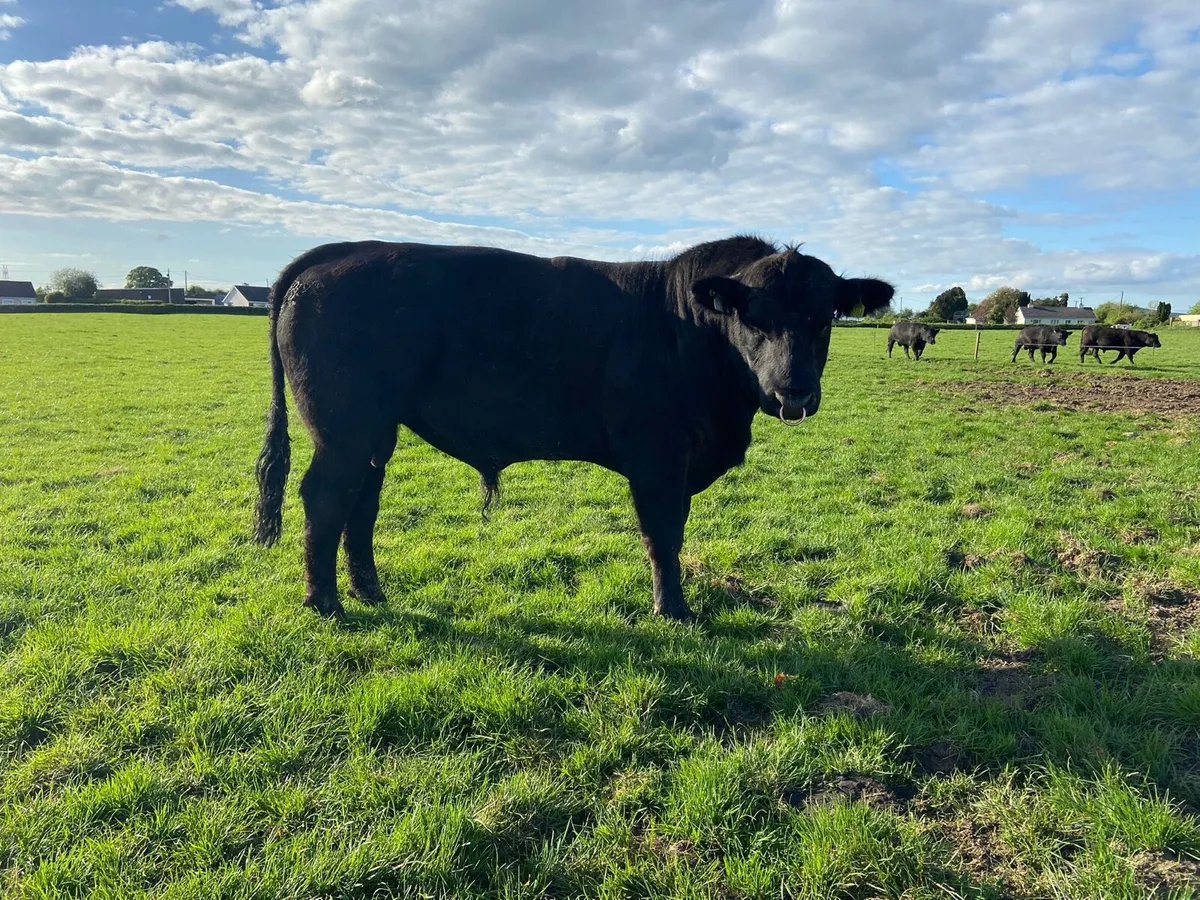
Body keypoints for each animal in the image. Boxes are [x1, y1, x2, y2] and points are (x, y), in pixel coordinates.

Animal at [252, 237, 894, 621]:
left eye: (823, 318)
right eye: (752, 319)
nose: (794, 393)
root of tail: (338, 255)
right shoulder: (658, 459)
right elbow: (664, 536)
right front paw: (673, 611)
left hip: (375, 432)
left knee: (361, 501)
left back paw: (370, 592)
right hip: (345, 427)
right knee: (325, 498)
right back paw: (325, 604)